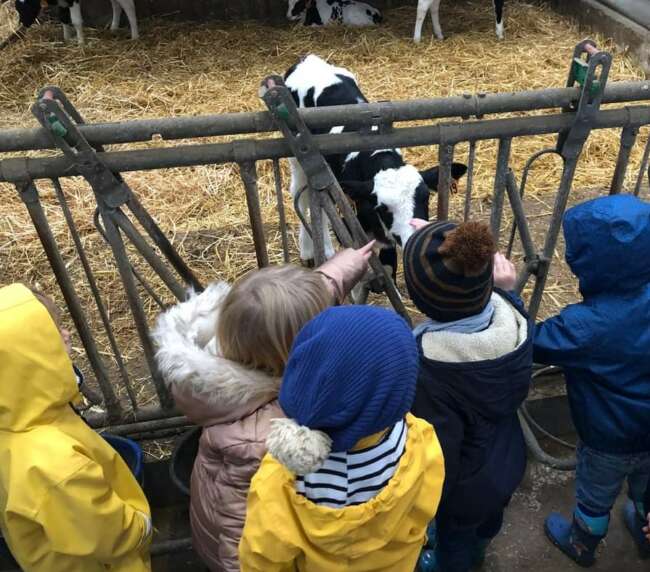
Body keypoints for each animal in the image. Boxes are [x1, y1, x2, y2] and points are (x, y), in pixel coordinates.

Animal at [284, 54, 466, 278]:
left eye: (426, 197)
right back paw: (311, 251)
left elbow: (389, 266)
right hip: (298, 160)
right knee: (302, 197)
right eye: (383, 208)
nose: (413, 237)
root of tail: (307, 59)